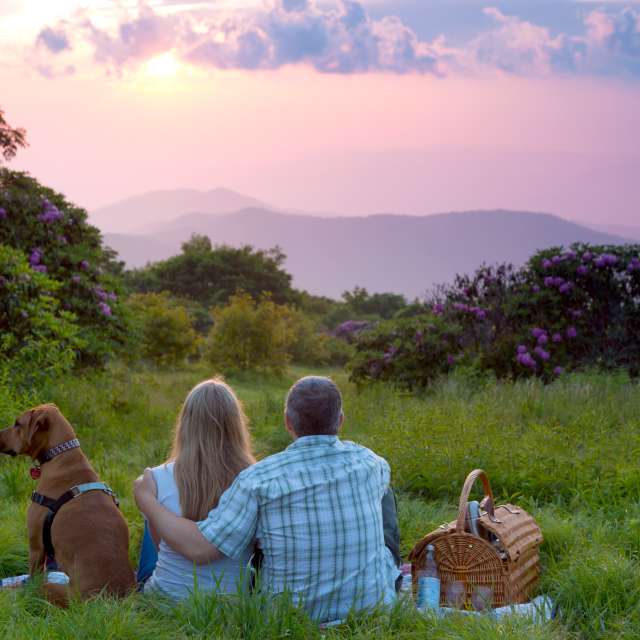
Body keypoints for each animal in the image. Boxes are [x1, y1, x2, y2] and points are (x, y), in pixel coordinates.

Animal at [0, 404, 135, 604]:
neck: (62, 456)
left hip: (52, 588)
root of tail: (113, 599)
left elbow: (29, 579)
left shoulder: (36, 546)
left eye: (18, 423)